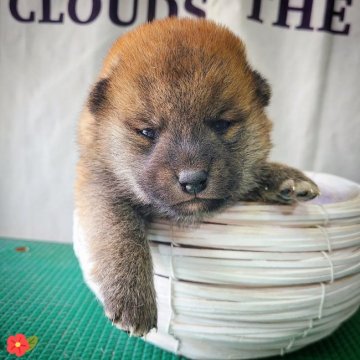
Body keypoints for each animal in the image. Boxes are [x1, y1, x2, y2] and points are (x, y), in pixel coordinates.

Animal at [74, 17, 320, 338]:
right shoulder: (98, 183)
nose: (193, 180)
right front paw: (132, 297)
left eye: (222, 124)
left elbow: (250, 173)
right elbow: (121, 231)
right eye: (147, 131)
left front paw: (283, 177)